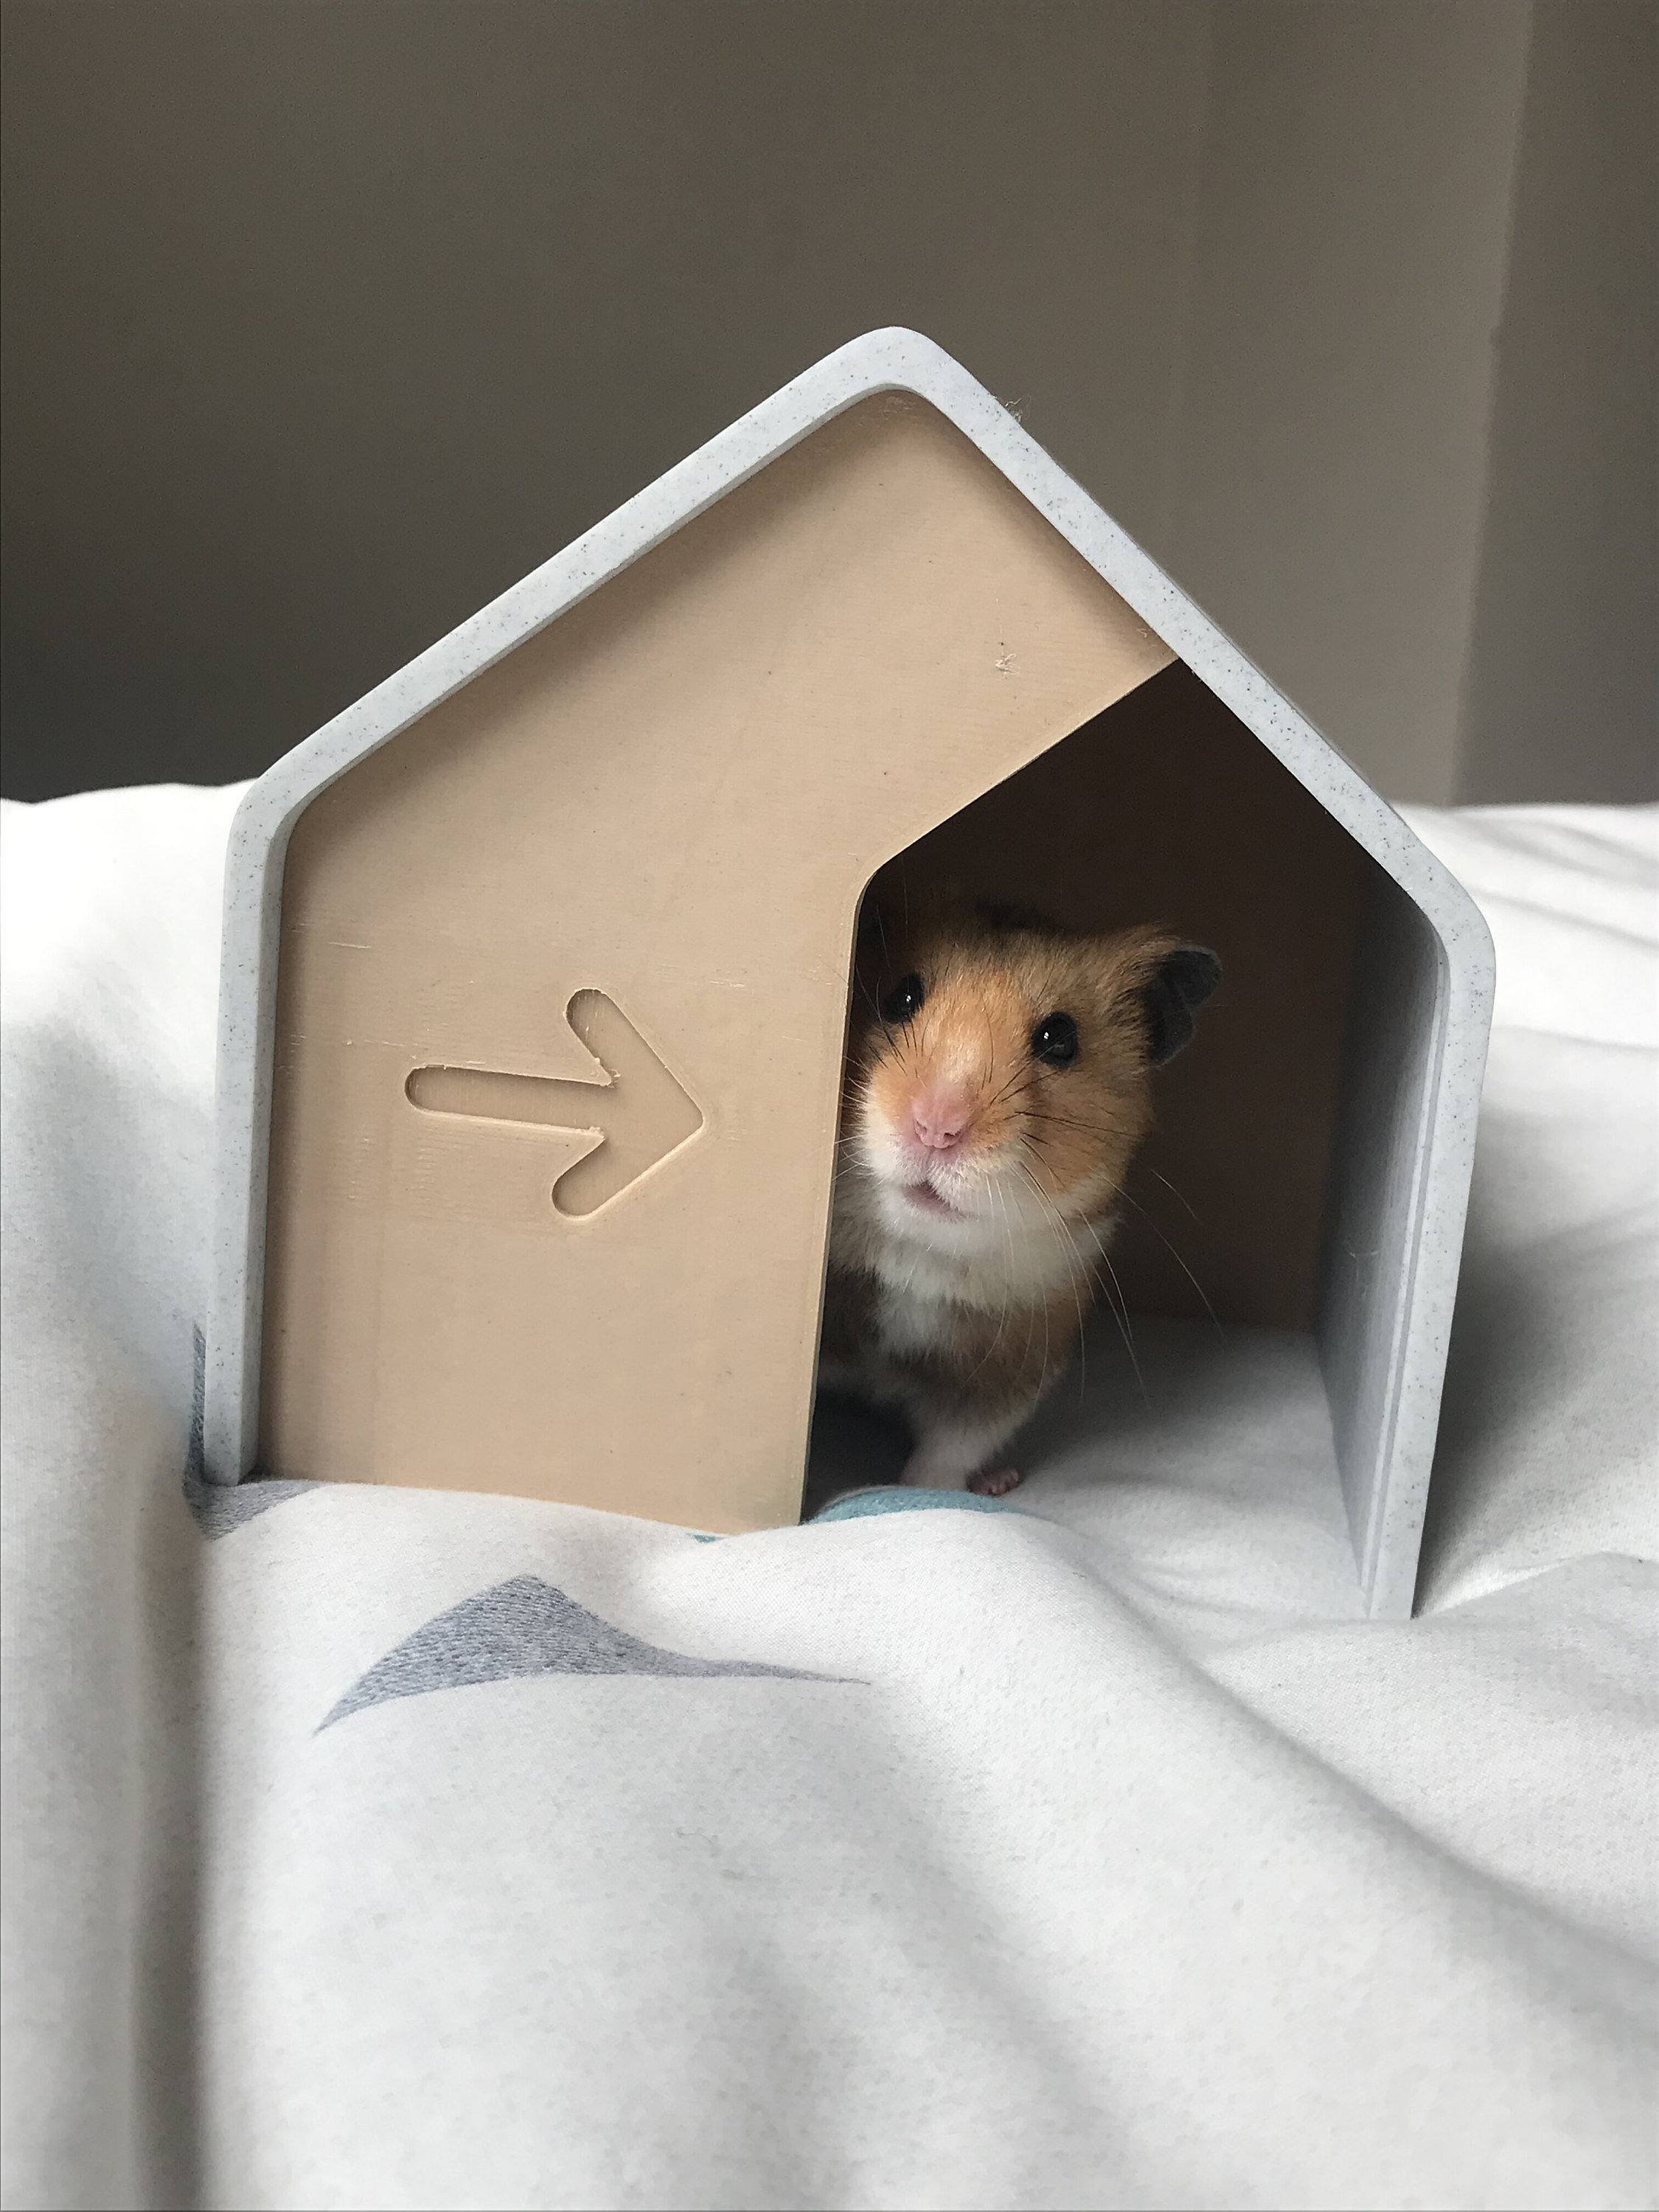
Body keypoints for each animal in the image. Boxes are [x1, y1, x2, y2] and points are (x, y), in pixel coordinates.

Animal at [821, 897, 1220, 1496]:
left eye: (1060, 1039)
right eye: (901, 997)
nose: (936, 1129)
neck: (924, 1250)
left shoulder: (1011, 1370)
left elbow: (947, 1452)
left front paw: (927, 1493)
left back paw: (998, 1481)